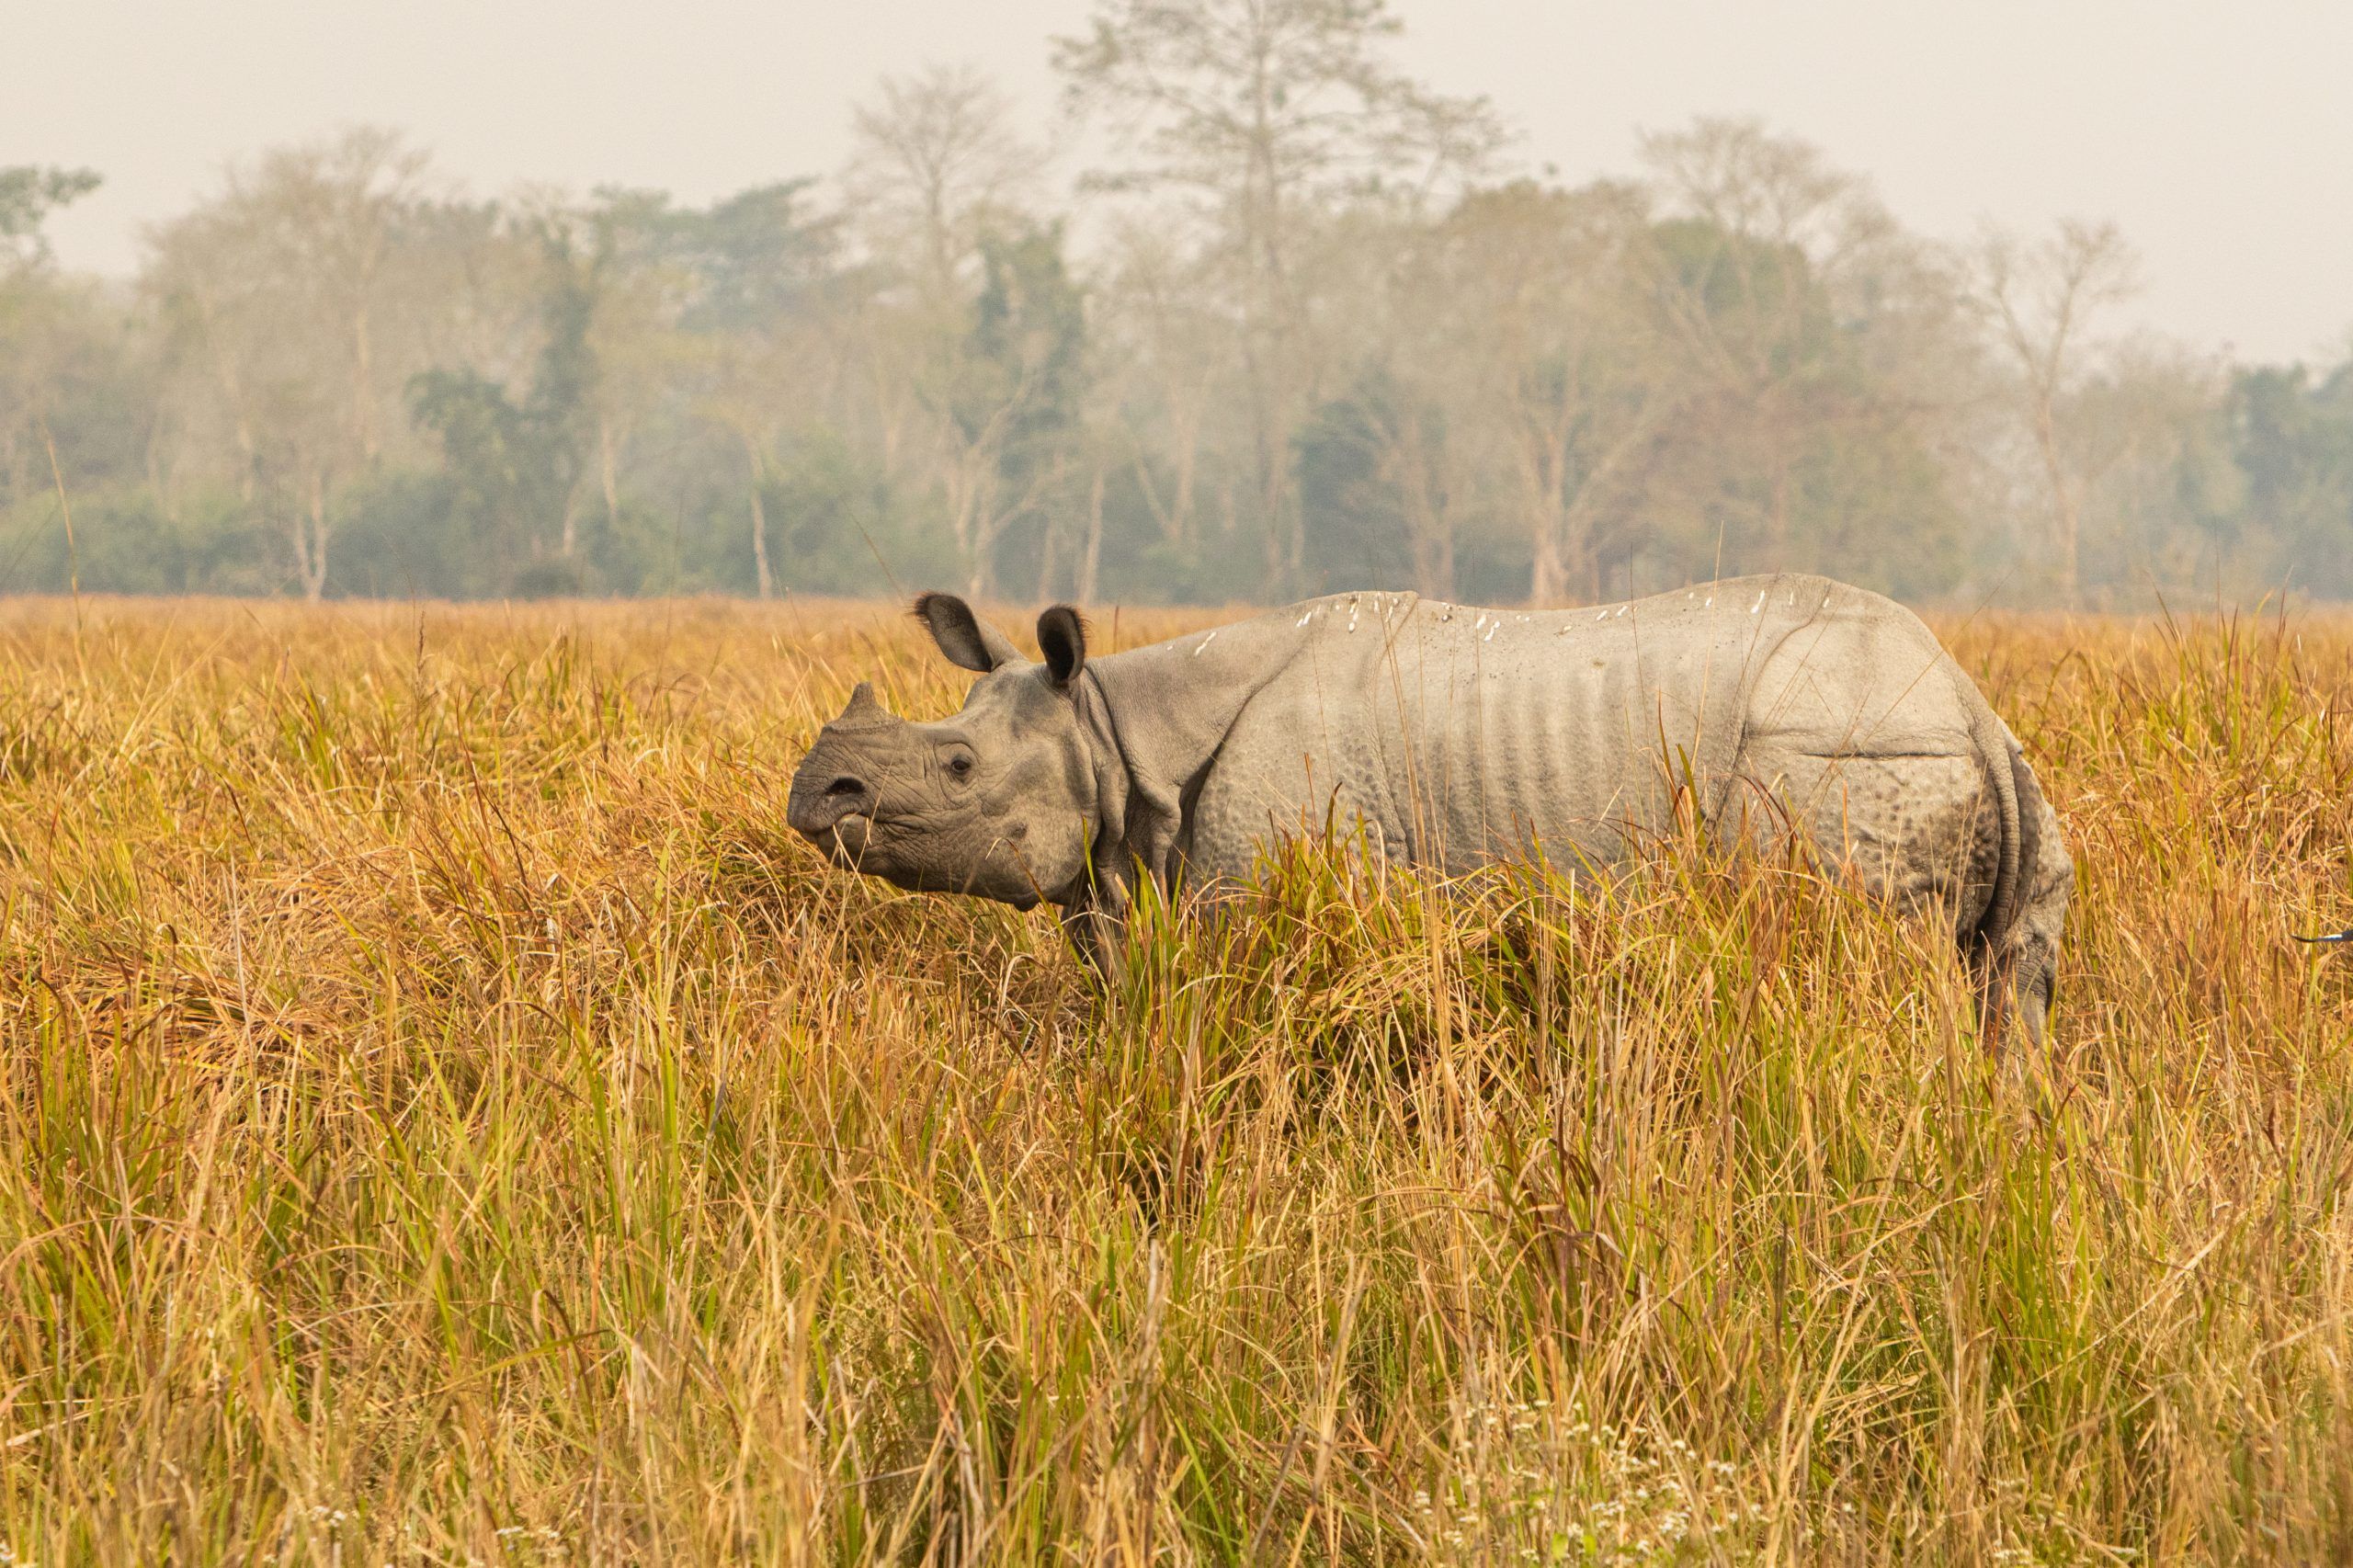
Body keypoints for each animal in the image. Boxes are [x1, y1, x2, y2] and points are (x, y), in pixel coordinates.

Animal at [787, 575, 2072, 1041]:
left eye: (957, 768)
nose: (814, 792)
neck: (1112, 730)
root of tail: (1969, 698)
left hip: (1840, 756)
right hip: (1957, 766)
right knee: (2011, 991)